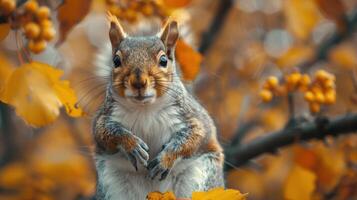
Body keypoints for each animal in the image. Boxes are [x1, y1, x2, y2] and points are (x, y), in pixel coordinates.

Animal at [93, 13, 224, 199]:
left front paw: (166, 159)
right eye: (116, 61)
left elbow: (195, 136)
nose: (139, 82)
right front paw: (131, 145)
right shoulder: (104, 116)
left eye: (163, 60)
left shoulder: (191, 117)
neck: (145, 108)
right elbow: (105, 133)